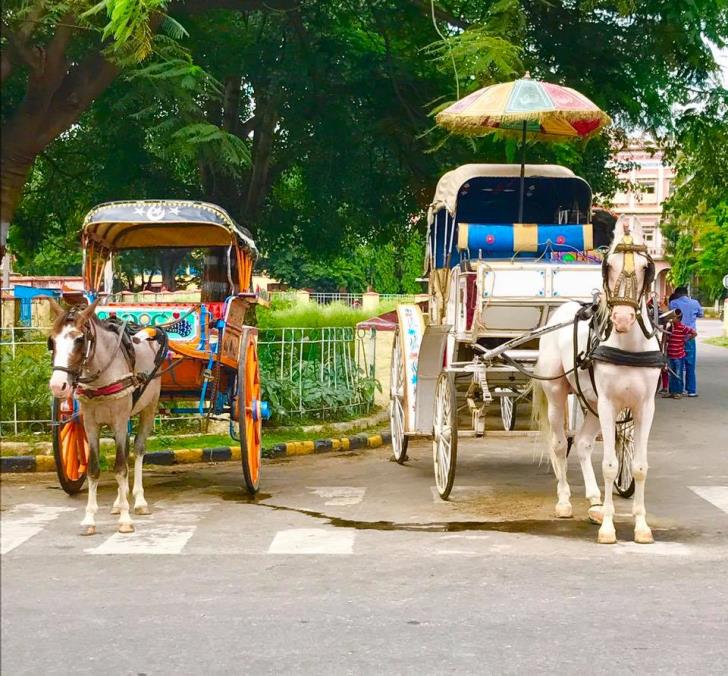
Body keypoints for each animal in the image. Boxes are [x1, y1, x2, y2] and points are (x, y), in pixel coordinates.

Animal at [49, 298, 166, 536]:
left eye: (80, 340)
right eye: (52, 341)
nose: (57, 385)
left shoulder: (120, 421)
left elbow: (120, 468)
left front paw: (125, 519)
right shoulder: (90, 424)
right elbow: (94, 469)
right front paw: (89, 519)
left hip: (149, 408)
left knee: (138, 450)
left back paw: (139, 501)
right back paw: (118, 503)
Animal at [532, 219, 664, 548]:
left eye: (645, 266)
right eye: (609, 265)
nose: (623, 319)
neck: (629, 345)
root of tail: (564, 308)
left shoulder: (644, 407)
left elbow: (639, 467)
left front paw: (641, 526)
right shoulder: (608, 404)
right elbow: (610, 465)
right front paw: (607, 528)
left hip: (590, 402)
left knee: (581, 442)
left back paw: (593, 501)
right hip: (559, 394)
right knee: (558, 444)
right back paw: (565, 501)